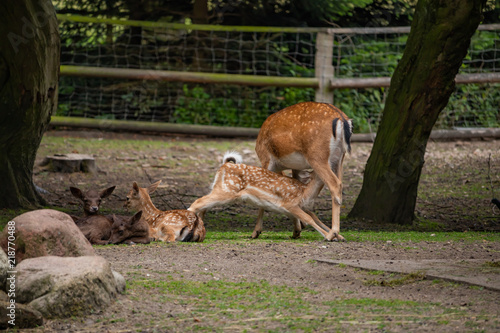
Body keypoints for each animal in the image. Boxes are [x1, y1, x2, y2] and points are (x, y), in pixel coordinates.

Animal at [188, 152, 332, 240]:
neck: (306, 192)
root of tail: (225, 165)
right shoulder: (290, 203)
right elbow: (309, 218)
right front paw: (328, 236)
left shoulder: (298, 207)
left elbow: (315, 218)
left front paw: (335, 235)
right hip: (226, 191)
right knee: (198, 201)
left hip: (220, 189)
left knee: (203, 205)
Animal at [254, 100, 352, 240]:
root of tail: (342, 119)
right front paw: (298, 229)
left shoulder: (266, 158)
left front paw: (256, 231)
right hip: (339, 158)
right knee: (339, 182)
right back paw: (337, 235)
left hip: (317, 156)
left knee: (335, 184)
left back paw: (332, 233)